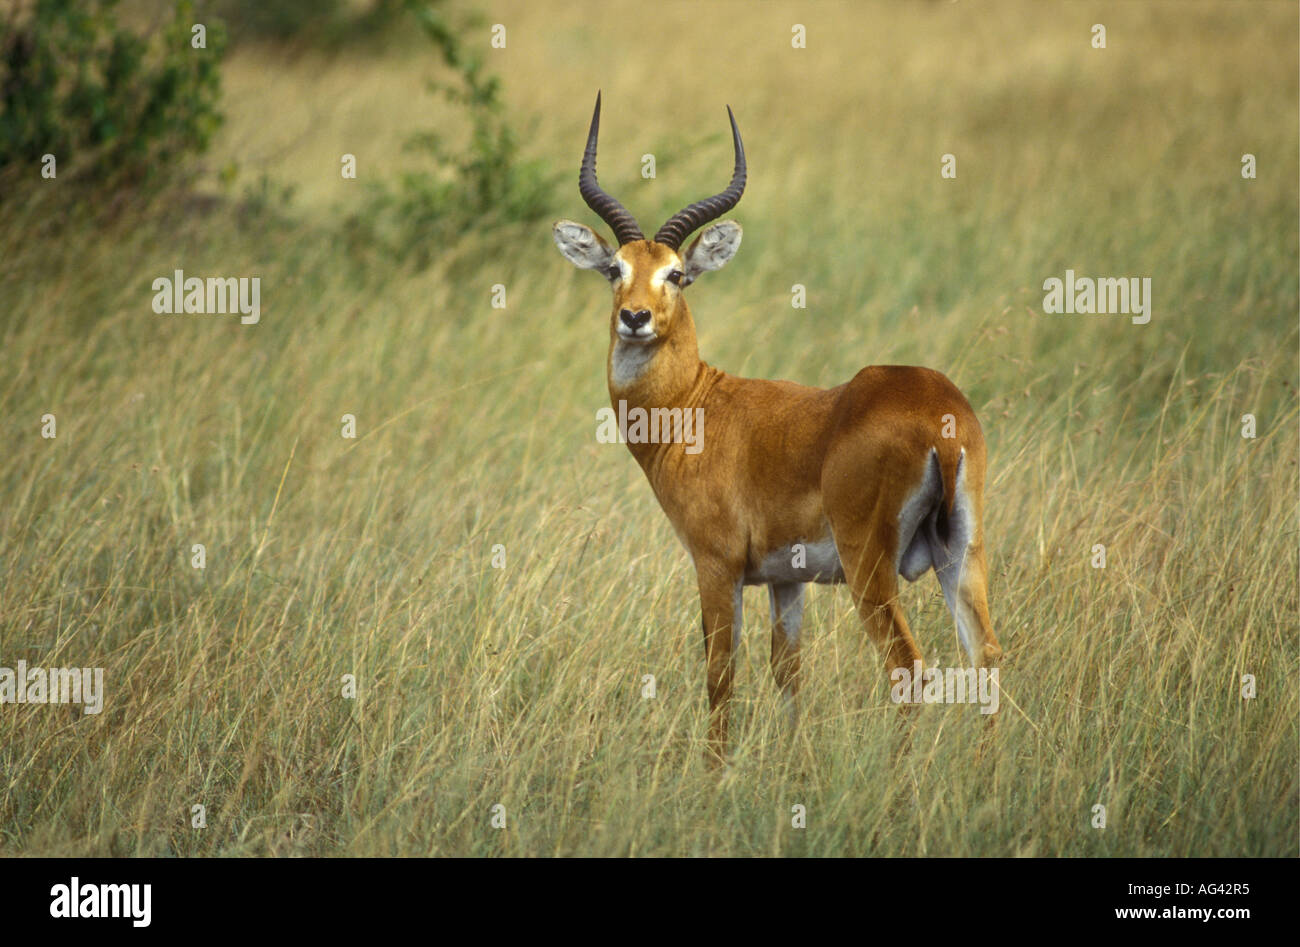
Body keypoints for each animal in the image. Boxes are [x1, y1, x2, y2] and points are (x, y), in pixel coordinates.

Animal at [551, 94, 1003, 759]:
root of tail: (937, 415)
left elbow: (720, 675)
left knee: (909, 668)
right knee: (985, 655)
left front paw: (714, 770)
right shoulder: (786, 582)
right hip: (962, 551)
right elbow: (787, 675)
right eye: (614, 268)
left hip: (870, 568)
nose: (635, 318)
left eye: (676, 274)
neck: (696, 405)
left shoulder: (717, 567)